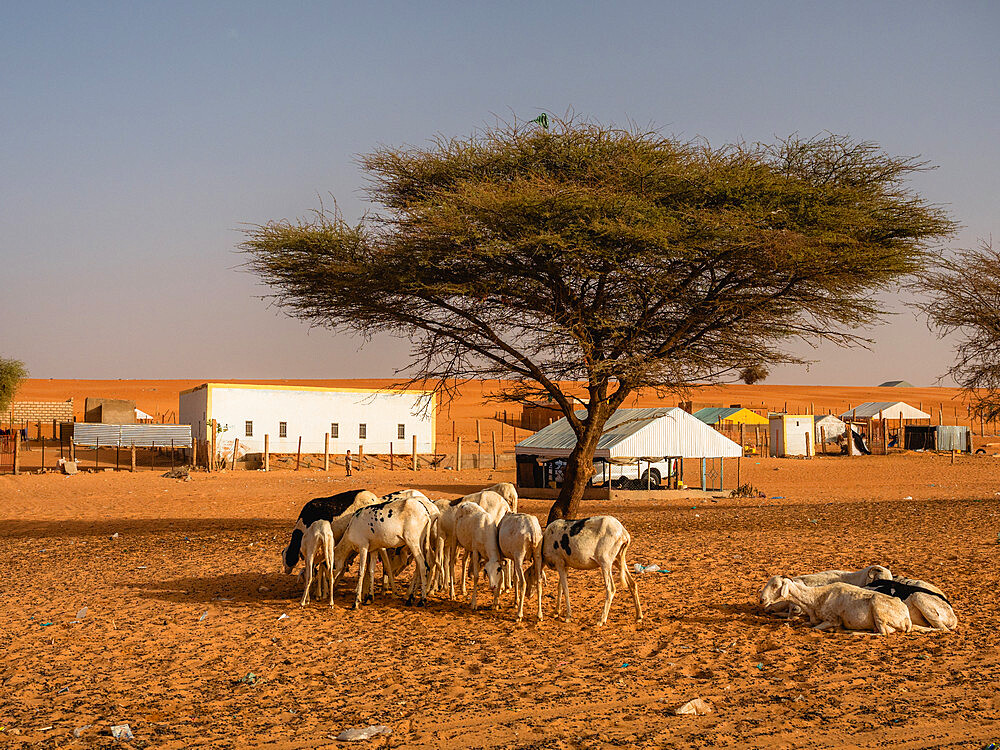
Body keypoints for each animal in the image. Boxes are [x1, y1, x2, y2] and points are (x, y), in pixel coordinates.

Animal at [768, 580, 924, 636]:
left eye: (775, 586)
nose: (764, 601)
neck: (816, 598)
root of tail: (907, 619)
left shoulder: (832, 619)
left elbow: (815, 628)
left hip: (878, 609)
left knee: (884, 632)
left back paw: (853, 632)